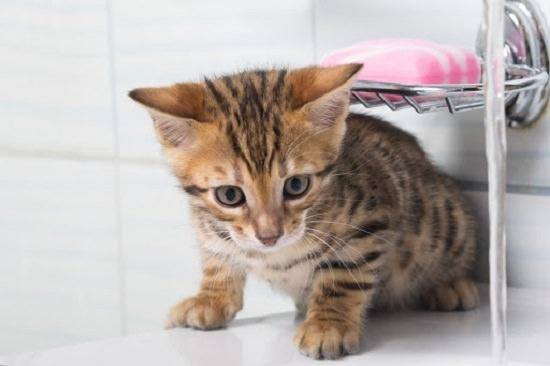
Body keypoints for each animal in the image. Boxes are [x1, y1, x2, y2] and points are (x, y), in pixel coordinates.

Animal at [129, 63, 478, 360]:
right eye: (229, 195)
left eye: (296, 185)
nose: (269, 235)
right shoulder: (208, 226)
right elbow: (218, 258)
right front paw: (210, 298)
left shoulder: (371, 220)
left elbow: (343, 276)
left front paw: (328, 326)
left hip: (446, 219)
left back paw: (449, 285)